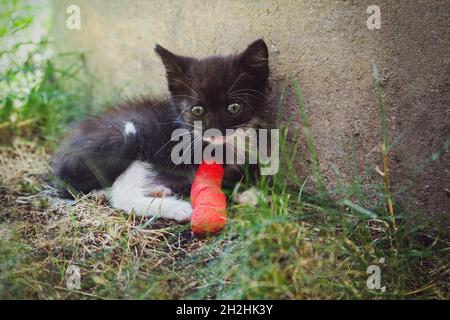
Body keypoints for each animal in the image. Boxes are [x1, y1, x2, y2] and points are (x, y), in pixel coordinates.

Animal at [52, 38, 270, 221]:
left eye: (234, 107)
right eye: (197, 110)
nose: (215, 133)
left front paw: (249, 189)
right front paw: (247, 193)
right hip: (126, 138)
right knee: (121, 194)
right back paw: (175, 207)